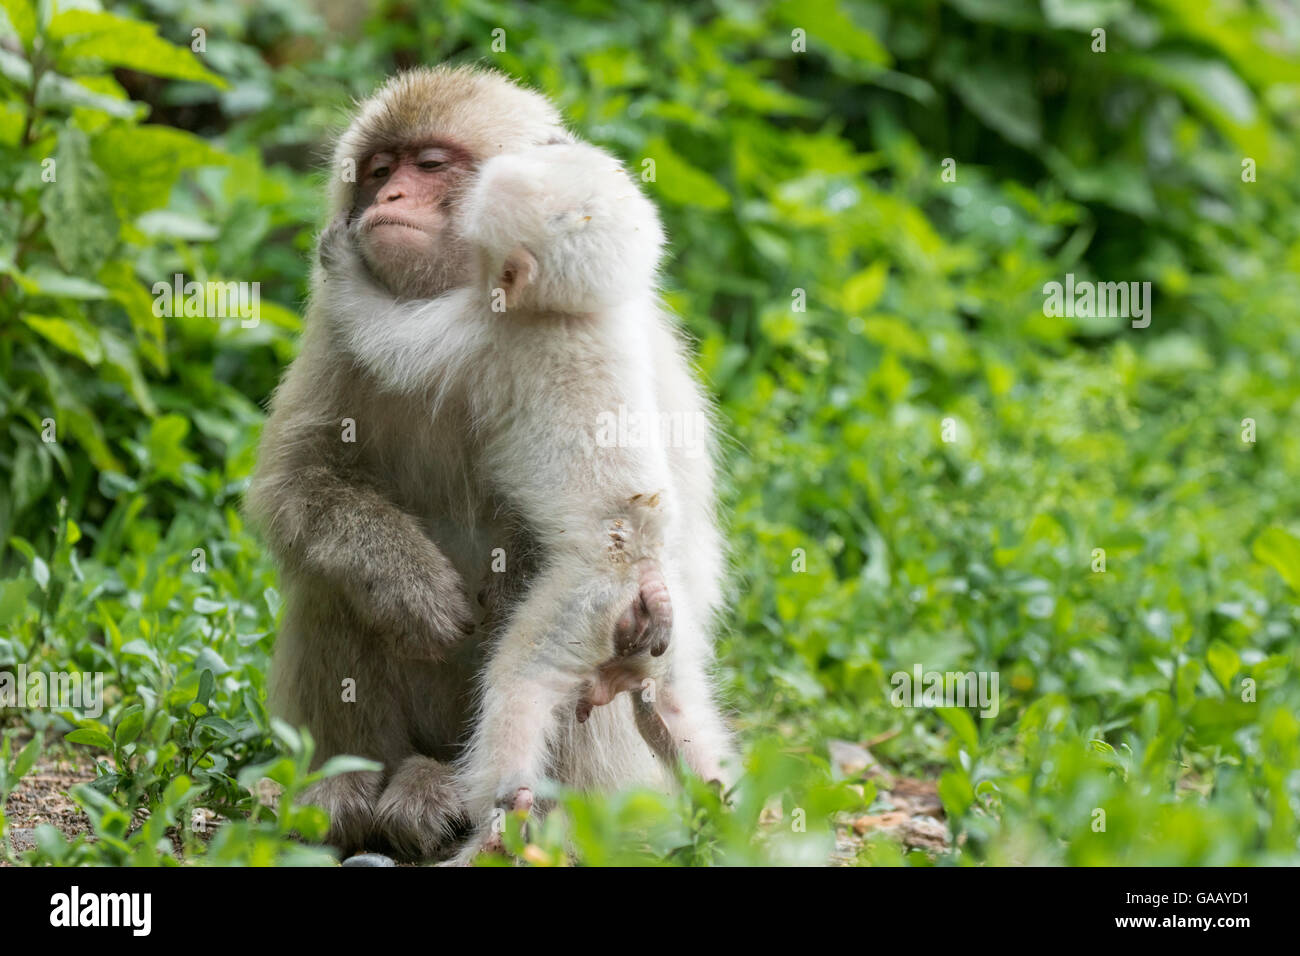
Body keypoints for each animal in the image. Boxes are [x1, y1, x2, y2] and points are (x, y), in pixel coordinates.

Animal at [244, 63, 733, 863]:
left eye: (429, 165)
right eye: (379, 169)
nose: (387, 200)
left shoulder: (474, 331)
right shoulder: (337, 336)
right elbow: (300, 479)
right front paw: (405, 582)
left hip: (592, 632)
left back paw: (501, 817)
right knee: (330, 582)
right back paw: (354, 790)